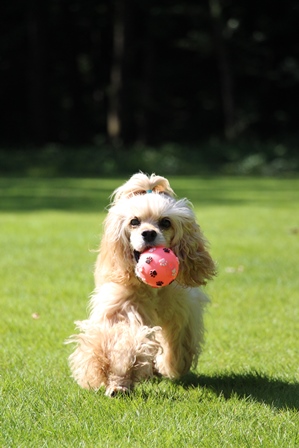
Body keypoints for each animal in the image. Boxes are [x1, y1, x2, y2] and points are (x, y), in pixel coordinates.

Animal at [68, 173, 217, 398]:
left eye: (165, 222)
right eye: (134, 222)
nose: (148, 233)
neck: (153, 289)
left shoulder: (182, 310)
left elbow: (177, 343)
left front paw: (171, 366)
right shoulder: (123, 307)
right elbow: (122, 343)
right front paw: (118, 383)